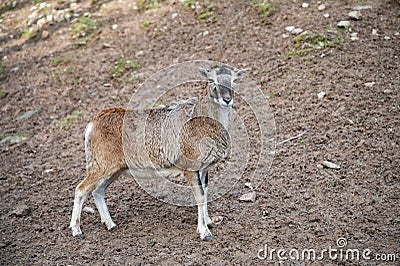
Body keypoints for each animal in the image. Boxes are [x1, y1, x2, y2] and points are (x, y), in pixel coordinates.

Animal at [70, 65, 248, 241]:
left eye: (234, 80)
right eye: (211, 80)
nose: (227, 99)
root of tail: (92, 125)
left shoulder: (204, 169)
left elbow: (205, 194)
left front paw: (210, 223)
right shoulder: (190, 169)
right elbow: (200, 197)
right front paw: (204, 233)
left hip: (115, 170)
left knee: (97, 191)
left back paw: (110, 225)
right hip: (100, 166)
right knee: (80, 190)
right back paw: (76, 230)